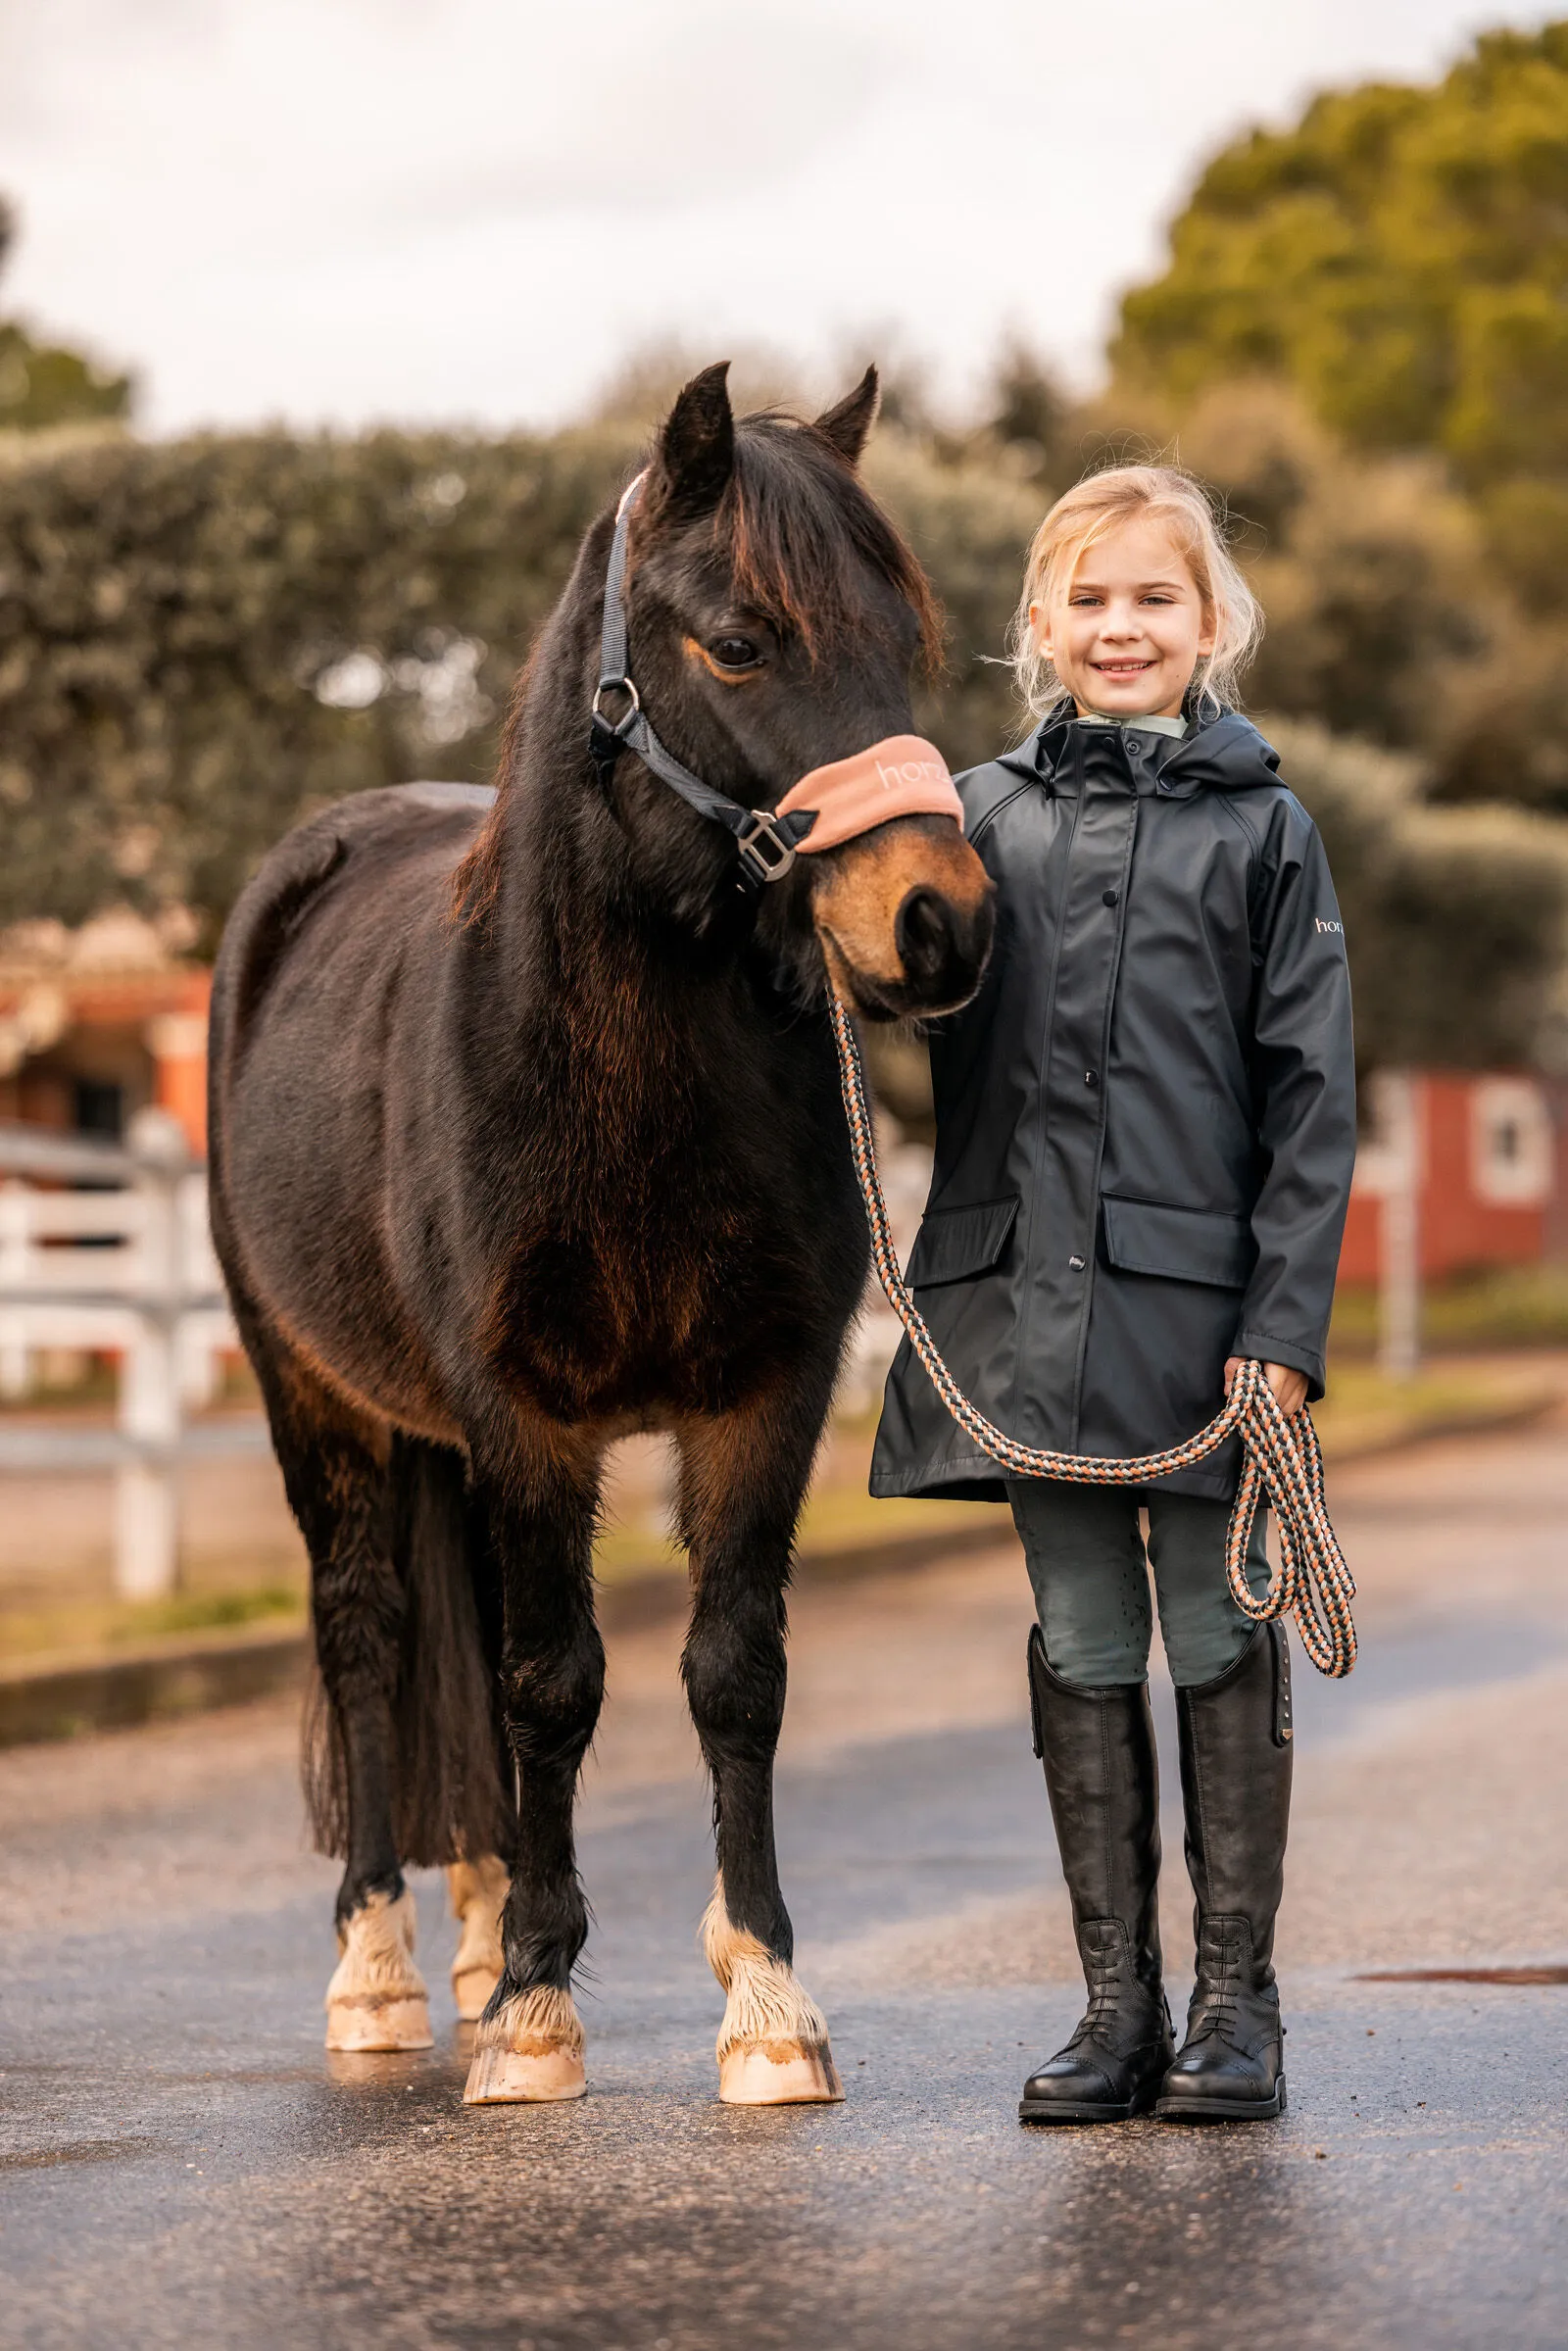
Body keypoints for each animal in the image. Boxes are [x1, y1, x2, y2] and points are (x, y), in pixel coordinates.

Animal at [208, 367, 992, 2116]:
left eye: (902, 643)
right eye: (743, 640)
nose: (939, 921)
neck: (608, 1075)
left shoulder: (762, 1395)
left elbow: (729, 1671)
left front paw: (762, 1994)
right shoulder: (524, 1411)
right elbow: (553, 1681)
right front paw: (533, 2021)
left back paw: (487, 1928)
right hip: (320, 1400)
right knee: (371, 1633)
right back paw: (387, 1968)